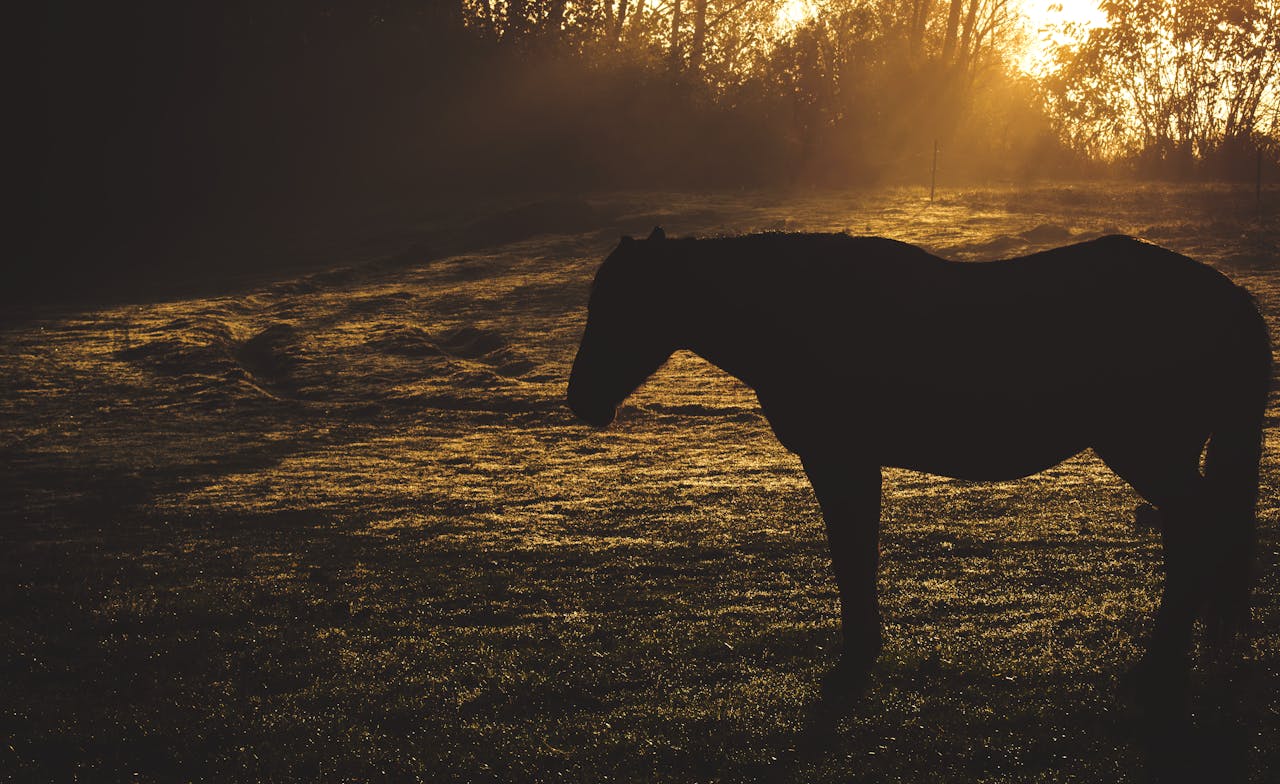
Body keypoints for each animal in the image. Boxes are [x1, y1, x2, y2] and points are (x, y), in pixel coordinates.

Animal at [566, 227, 1270, 705]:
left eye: (624, 305)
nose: (580, 400)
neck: (803, 312)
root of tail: (1231, 297)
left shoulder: (841, 461)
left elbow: (851, 553)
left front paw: (856, 657)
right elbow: (857, 552)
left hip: (1148, 451)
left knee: (1199, 530)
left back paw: (1158, 668)